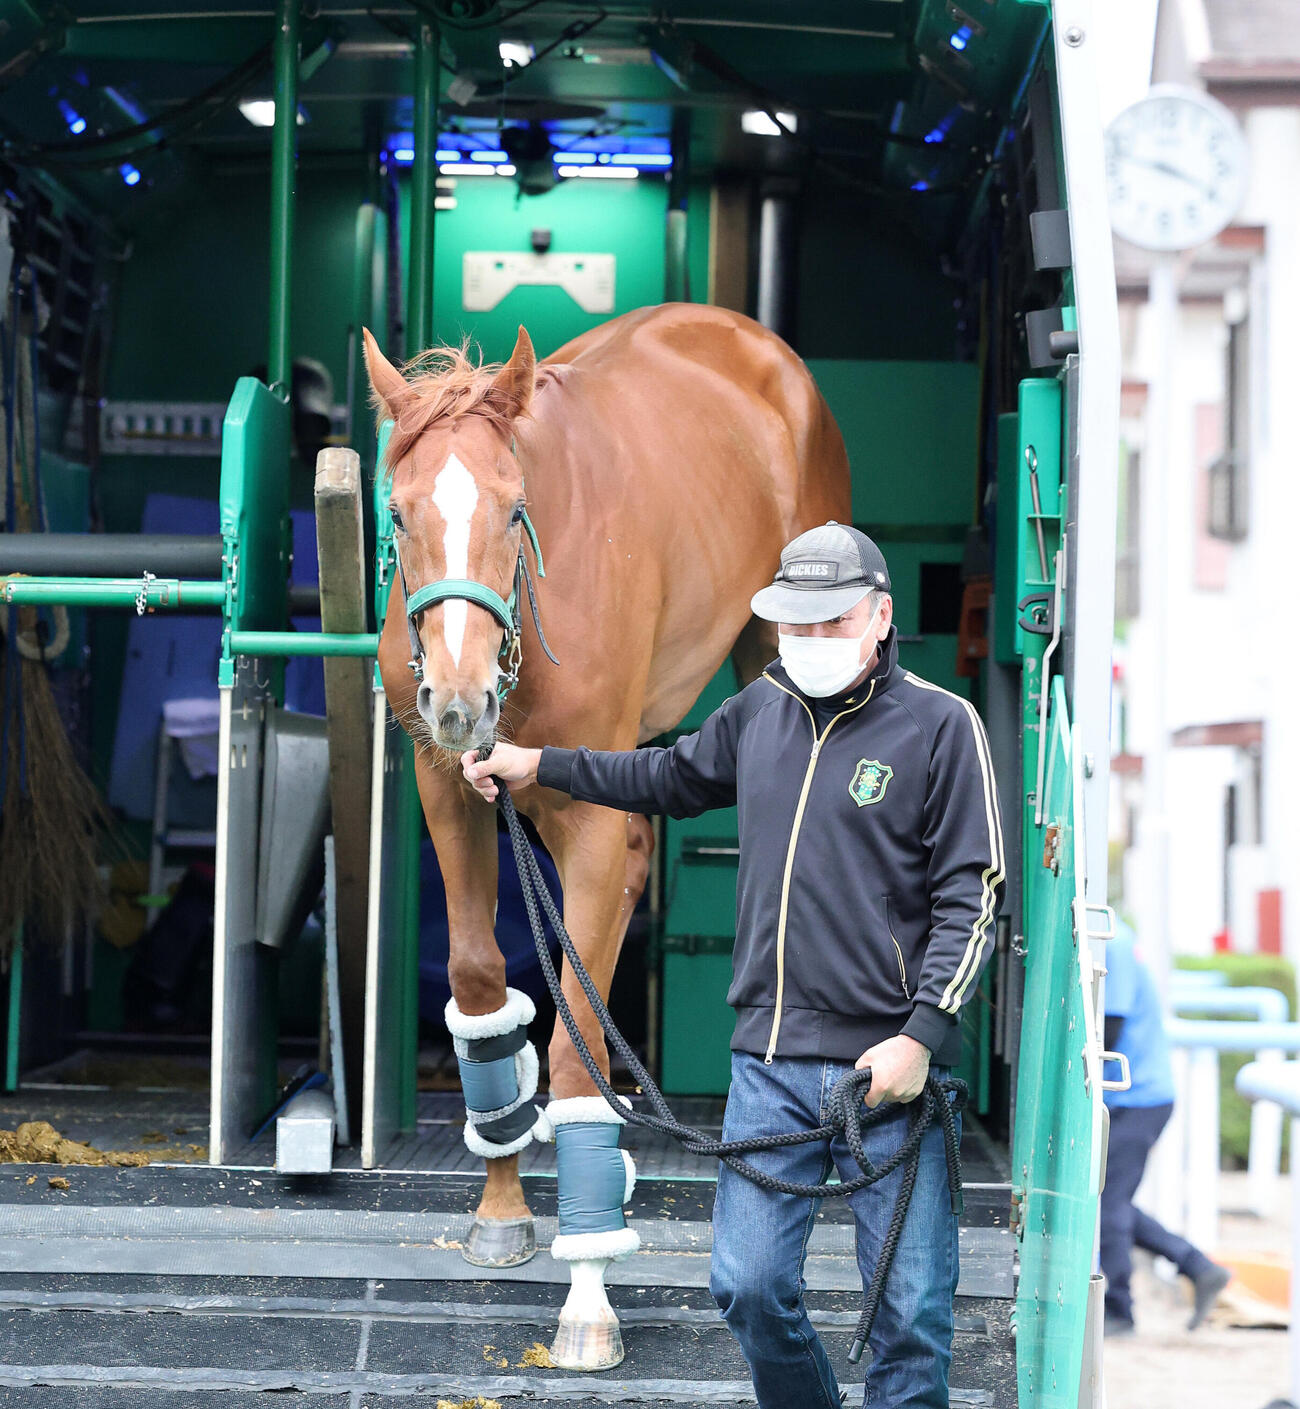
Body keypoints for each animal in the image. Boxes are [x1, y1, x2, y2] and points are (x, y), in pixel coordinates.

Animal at [364, 302, 850, 1369]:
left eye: (513, 510)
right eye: (400, 514)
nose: (458, 700)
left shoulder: (590, 817)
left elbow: (577, 1047)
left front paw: (587, 1294)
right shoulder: (447, 784)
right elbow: (478, 981)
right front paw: (503, 1204)